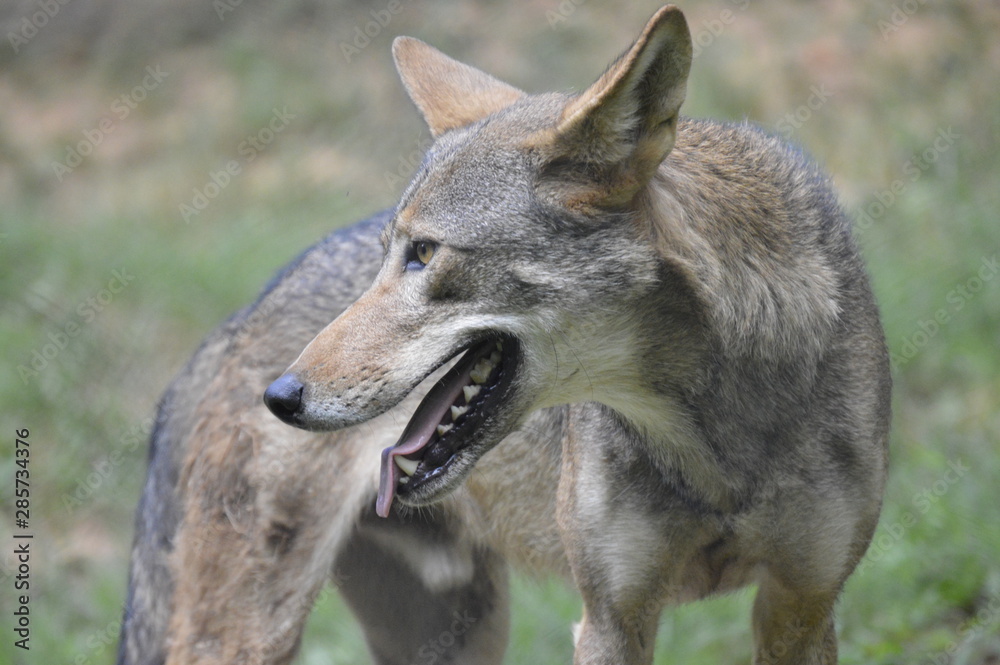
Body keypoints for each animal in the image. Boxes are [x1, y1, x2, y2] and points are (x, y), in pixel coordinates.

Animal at [118, 6, 890, 665]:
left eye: (424, 254)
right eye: (387, 255)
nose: (279, 396)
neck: (713, 446)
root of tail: (226, 332)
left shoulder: (801, 607)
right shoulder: (611, 616)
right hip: (250, 636)